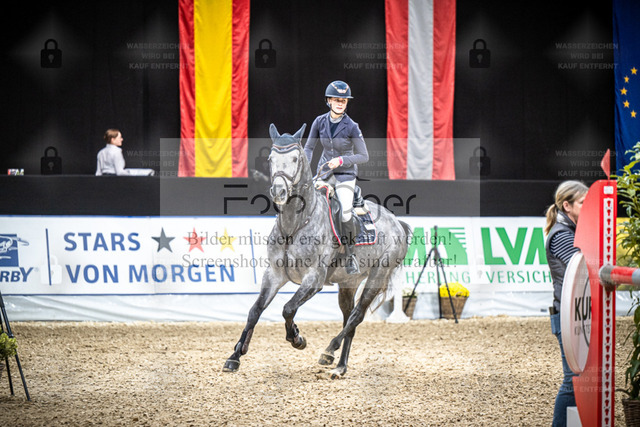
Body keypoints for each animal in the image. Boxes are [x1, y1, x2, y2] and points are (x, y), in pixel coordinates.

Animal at [222, 123, 411, 378]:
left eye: (295, 158)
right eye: (271, 158)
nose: (279, 191)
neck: (294, 224)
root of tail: (396, 222)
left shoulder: (314, 279)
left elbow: (288, 308)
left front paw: (297, 338)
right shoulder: (274, 275)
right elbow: (255, 311)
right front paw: (235, 356)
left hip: (377, 276)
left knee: (356, 316)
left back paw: (329, 350)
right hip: (348, 283)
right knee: (348, 318)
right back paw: (339, 365)